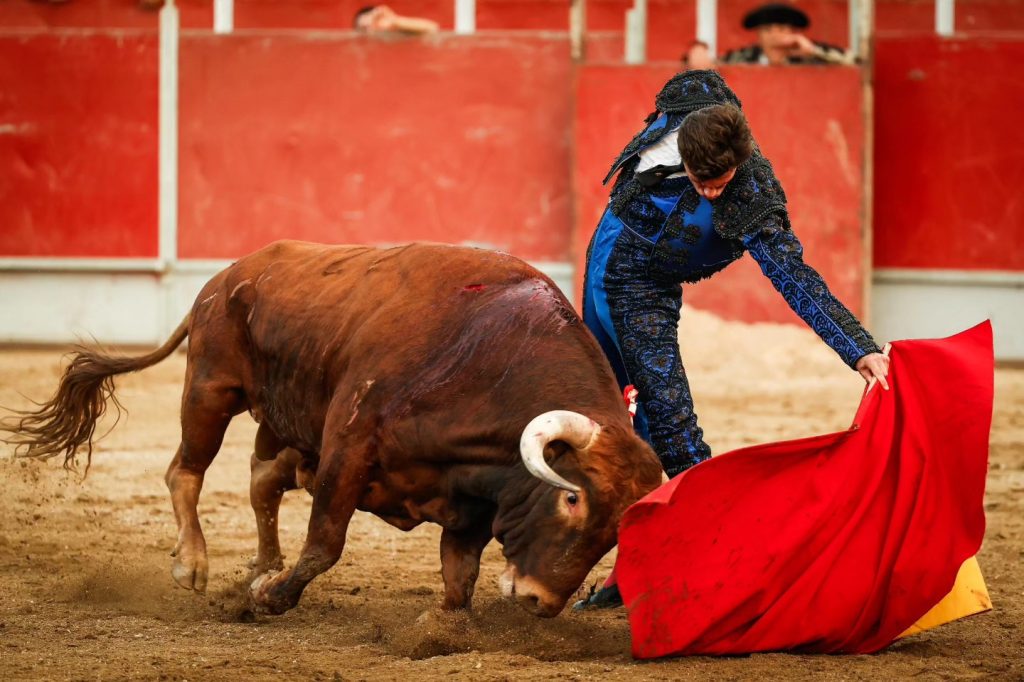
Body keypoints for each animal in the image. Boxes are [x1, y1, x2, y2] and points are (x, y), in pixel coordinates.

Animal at [6, 240, 663, 614]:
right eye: (572, 498)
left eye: (616, 530)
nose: (539, 602)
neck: (486, 359)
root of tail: (226, 277)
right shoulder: (348, 447)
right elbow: (325, 542)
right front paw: (271, 598)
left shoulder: (473, 498)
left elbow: (459, 576)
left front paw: (439, 628)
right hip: (211, 388)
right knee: (185, 471)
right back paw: (194, 565)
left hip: (281, 418)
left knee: (261, 482)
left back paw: (261, 563)